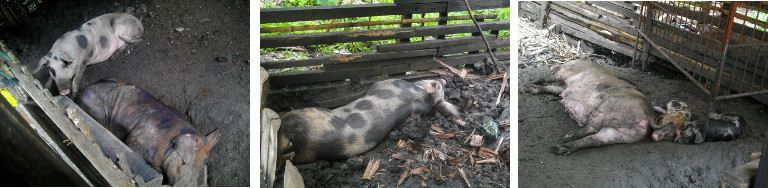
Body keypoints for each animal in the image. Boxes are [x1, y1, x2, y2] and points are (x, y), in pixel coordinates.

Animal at [280, 78, 460, 164]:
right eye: (441, 87)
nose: (444, 80)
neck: (423, 96)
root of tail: (292, 141)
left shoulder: (385, 83)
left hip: (305, 114)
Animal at [524, 57, 656, 156]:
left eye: (567, 61)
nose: (553, 66)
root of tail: (649, 116)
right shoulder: (564, 88)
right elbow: (553, 88)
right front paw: (528, 89)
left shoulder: (565, 74)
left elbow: (551, 79)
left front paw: (534, 81)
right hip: (625, 133)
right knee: (597, 140)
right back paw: (559, 148)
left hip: (608, 105)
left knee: (592, 128)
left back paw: (566, 136)